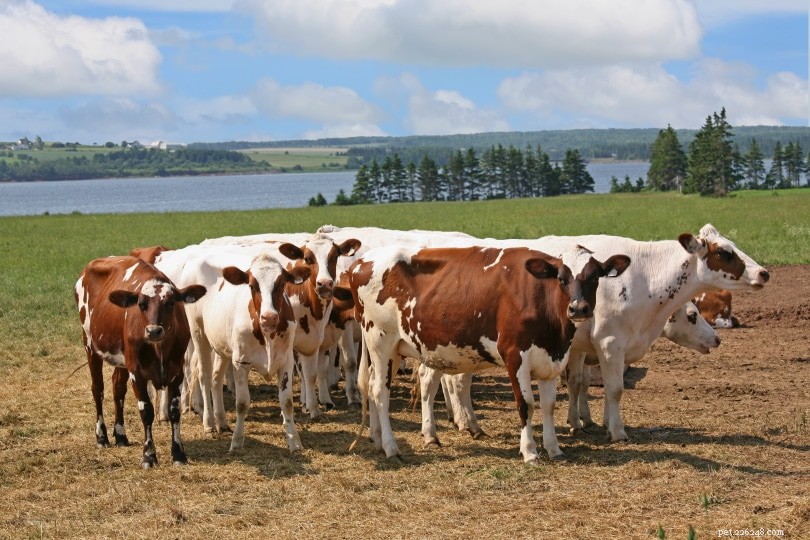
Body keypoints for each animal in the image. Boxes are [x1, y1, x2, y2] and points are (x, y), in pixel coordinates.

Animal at [75, 256, 206, 468]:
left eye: (171, 303)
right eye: (141, 304)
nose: (154, 331)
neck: (160, 349)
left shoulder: (177, 372)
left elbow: (174, 411)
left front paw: (178, 453)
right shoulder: (137, 373)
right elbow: (146, 412)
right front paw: (149, 455)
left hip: (122, 360)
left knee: (117, 389)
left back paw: (120, 434)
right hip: (90, 346)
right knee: (98, 390)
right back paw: (101, 436)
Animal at [345, 244, 630, 463]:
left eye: (595, 277)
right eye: (561, 278)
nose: (578, 308)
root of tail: (361, 261)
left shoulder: (551, 361)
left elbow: (548, 405)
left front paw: (554, 449)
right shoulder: (515, 356)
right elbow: (526, 404)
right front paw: (530, 452)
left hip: (395, 349)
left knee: (375, 385)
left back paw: (380, 438)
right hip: (380, 340)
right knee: (381, 391)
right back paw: (391, 447)